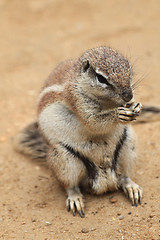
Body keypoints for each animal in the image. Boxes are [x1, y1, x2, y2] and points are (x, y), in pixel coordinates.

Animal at [13, 46, 159, 217]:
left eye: (129, 69)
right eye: (101, 78)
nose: (128, 95)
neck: (107, 102)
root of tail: (105, 181)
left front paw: (136, 106)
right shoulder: (77, 100)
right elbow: (93, 122)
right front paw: (118, 114)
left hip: (128, 145)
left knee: (124, 176)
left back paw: (132, 187)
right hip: (64, 159)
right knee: (70, 185)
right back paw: (75, 198)